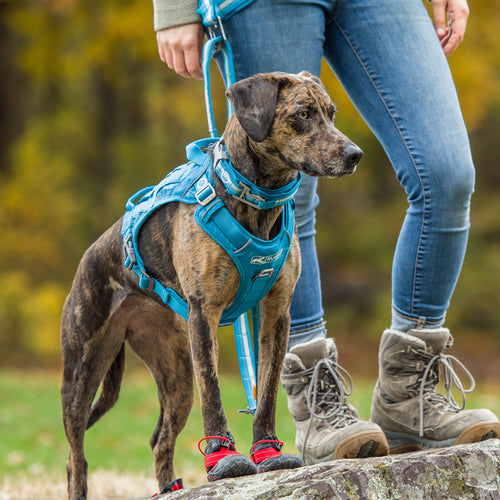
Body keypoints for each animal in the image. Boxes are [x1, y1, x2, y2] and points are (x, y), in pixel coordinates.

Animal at [60, 71, 362, 500]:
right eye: (303, 114)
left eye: (331, 113)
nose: (355, 155)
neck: (258, 197)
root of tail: (89, 256)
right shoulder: (205, 315)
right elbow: (215, 394)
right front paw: (224, 460)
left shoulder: (276, 315)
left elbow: (267, 393)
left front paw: (267, 453)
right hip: (82, 369)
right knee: (76, 456)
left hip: (175, 374)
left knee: (160, 441)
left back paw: (169, 488)